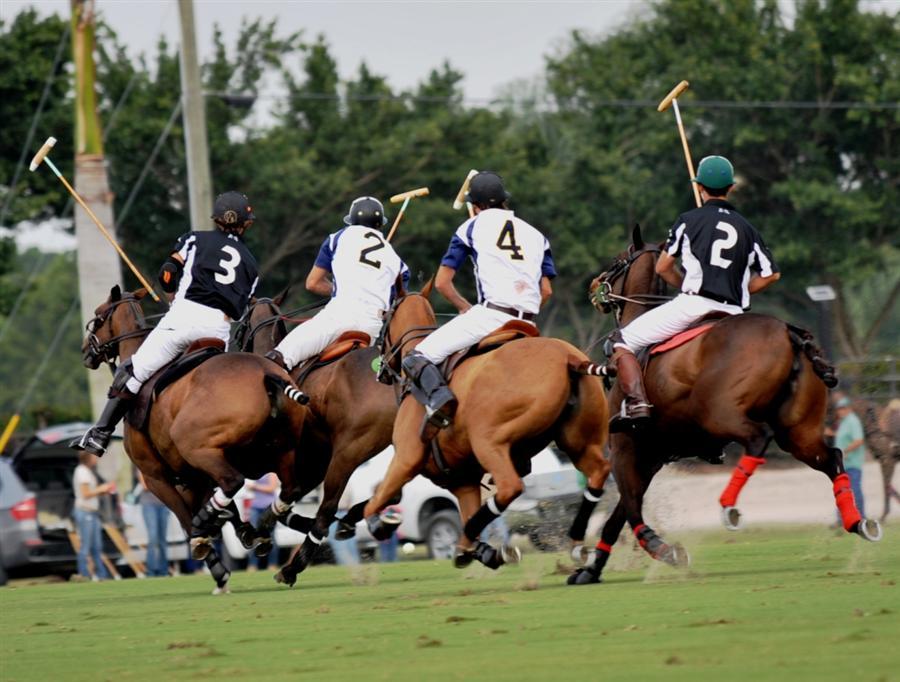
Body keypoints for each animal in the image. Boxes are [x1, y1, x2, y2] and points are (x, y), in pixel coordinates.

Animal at [81, 286, 307, 593]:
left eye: (98, 316)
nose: (86, 351)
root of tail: (267, 373)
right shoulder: (194, 475)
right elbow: (227, 506)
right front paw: (243, 532)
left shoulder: (156, 477)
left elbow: (186, 520)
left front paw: (216, 565)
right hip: (277, 451)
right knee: (288, 489)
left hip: (198, 447)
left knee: (233, 482)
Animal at [235, 294, 401, 586]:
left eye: (242, 322)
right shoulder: (315, 458)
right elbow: (290, 496)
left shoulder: (297, 457)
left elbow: (287, 495)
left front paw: (262, 532)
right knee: (392, 492)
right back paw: (359, 522)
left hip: (348, 452)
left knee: (326, 511)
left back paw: (293, 567)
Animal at [342, 281, 612, 571]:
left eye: (383, 317)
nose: (380, 369)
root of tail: (569, 359)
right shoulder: (464, 482)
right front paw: (481, 551)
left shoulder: (406, 458)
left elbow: (375, 501)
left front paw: (368, 522)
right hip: (579, 442)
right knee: (598, 474)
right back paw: (574, 545)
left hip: (489, 441)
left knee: (509, 487)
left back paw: (471, 538)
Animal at [569, 225, 882, 585]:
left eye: (618, 261)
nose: (594, 286)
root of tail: (789, 332)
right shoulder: (654, 454)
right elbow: (618, 513)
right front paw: (591, 569)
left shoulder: (625, 445)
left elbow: (630, 508)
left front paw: (664, 549)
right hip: (797, 430)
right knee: (831, 458)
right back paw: (858, 522)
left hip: (721, 414)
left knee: (759, 439)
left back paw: (728, 506)